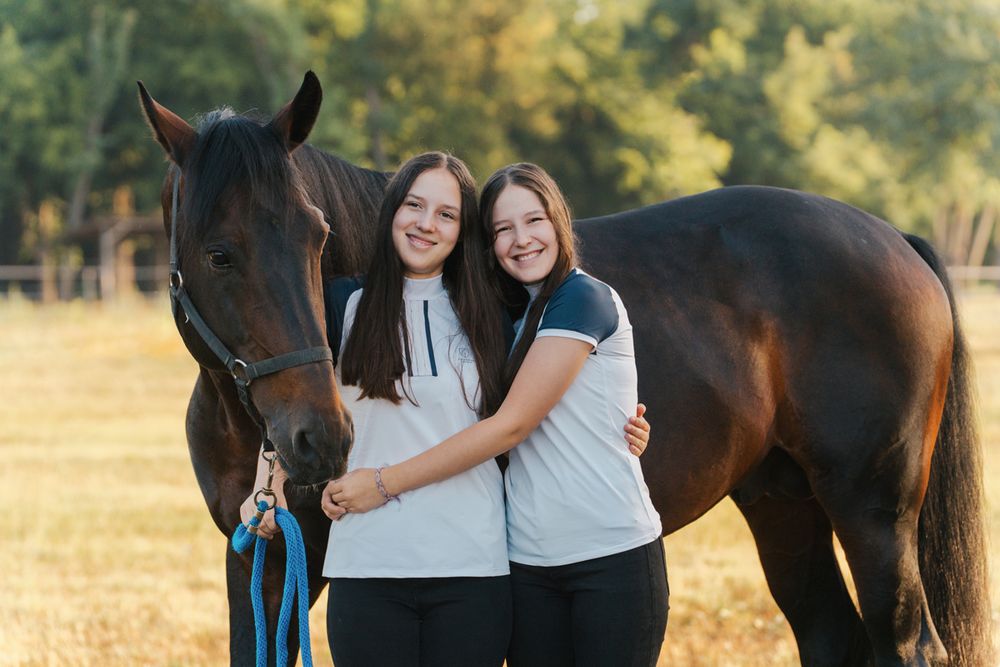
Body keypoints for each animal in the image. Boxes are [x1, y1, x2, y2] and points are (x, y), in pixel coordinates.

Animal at [138, 73, 989, 666]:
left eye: (316, 236)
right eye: (218, 253)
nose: (320, 438)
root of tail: (894, 238)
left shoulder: (309, 555)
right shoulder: (259, 560)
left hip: (873, 513)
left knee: (906, 642)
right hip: (783, 501)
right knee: (830, 634)